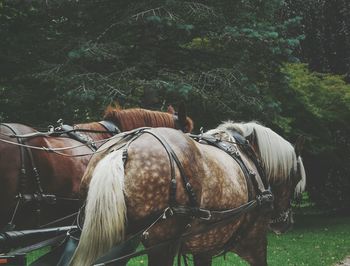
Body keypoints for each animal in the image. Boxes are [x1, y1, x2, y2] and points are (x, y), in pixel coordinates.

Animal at [70, 121, 304, 266]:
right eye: (295, 178)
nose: (285, 222)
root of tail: (124, 149)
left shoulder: (205, 246)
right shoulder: (255, 242)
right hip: (161, 244)